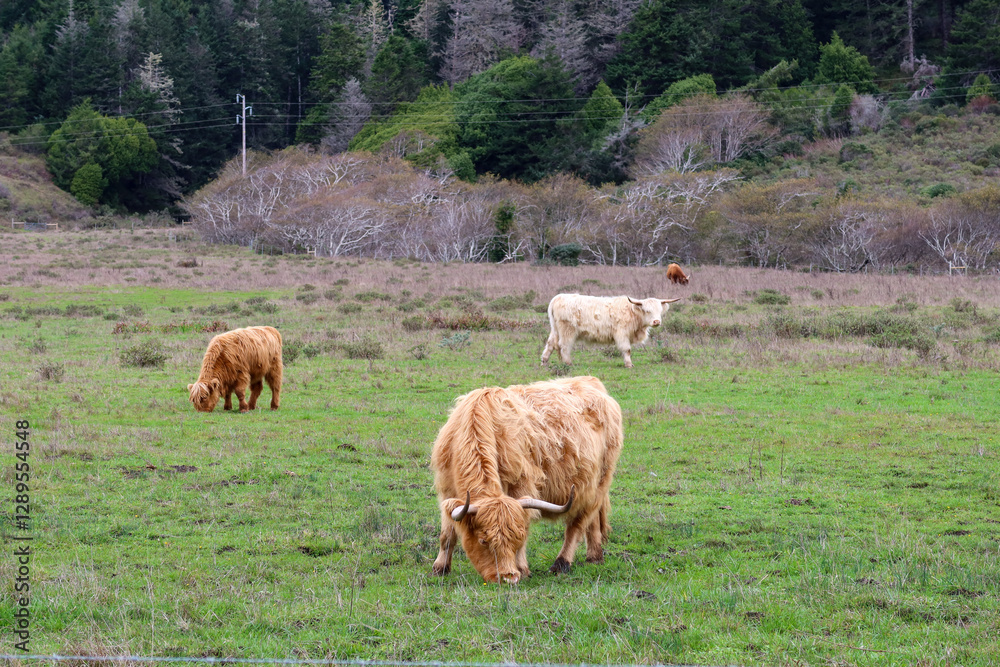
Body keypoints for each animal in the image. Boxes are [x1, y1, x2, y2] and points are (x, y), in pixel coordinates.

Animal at [430, 376, 623, 584]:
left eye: (516, 538)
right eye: (483, 540)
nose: (509, 577)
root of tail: (590, 380)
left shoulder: (522, 485)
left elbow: (525, 523)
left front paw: (522, 568)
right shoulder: (447, 490)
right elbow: (447, 534)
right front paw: (440, 568)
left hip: (601, 480)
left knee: (578, 524)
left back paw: (561, 563)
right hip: (589, 487)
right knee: (592, 519)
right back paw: (595, 556)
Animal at [541, 293, 681, 369]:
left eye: (659, 310)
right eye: (647, 311)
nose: (656, 321)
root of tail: (557, 298)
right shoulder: (622, 333)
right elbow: (627, 350)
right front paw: (629, 364)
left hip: (555, 330)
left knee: (551, 344)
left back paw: (544, 361)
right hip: (567, 330)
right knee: (563, 346)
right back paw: (568, 363)